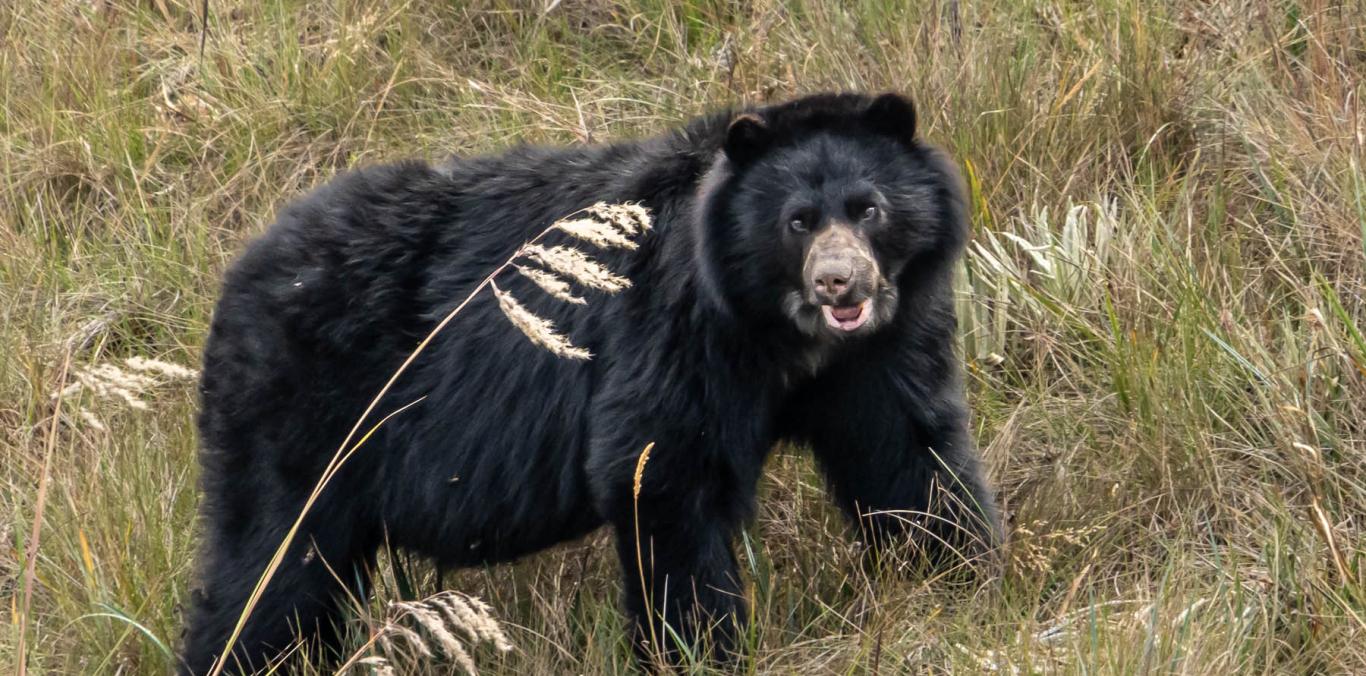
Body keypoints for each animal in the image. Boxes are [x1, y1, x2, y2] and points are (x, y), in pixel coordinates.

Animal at [180, 92, 1002, 674]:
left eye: (869, 209)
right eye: (797, 221)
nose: (840, 283)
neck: (779, 334)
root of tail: (240, 272)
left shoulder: (876, 353)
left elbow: (907, 455)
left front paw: (968, 578)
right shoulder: (671, 328)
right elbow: (660, 470)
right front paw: (700, 647)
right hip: (301, 414)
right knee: (271, 565)